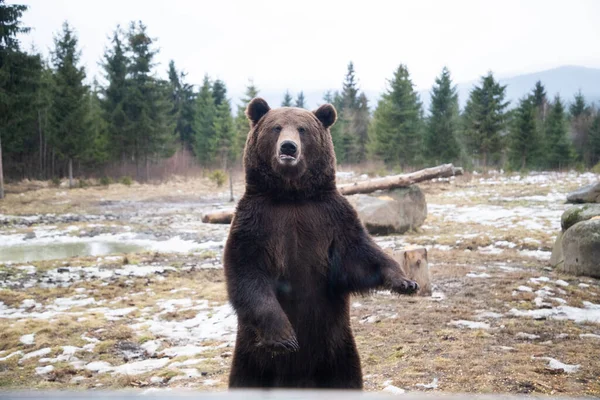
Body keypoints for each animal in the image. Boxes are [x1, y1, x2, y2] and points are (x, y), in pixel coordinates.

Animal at [224, 98, 418, 390]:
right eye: (276, 127)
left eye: (302, 129)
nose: (288, 147)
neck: (292, 196)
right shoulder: (255, 223)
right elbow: (248, 273)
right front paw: (285, 337)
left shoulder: (331, 219)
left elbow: (360, 257)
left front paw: (405, 282)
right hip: (253, 358)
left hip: (337, 350)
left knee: (347, 377)